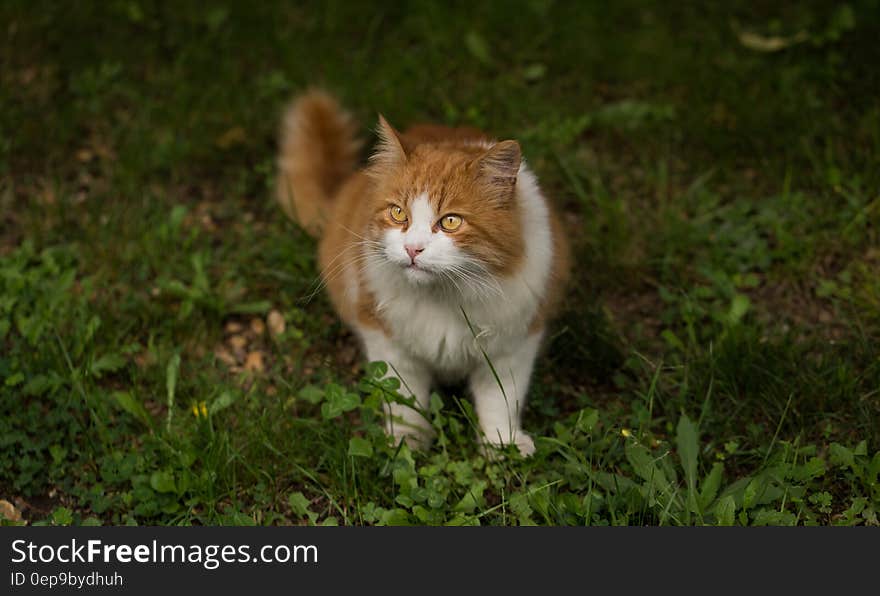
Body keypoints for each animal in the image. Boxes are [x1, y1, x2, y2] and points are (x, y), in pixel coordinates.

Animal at [278, 89, 576, 456]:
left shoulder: (513, 346)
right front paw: (407, 444)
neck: (445, 296)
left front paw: (501, 445)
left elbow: (501, 401)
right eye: (397, 213)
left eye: (450, 221)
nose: (412, 249)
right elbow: (405, 402)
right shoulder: (388, 341)